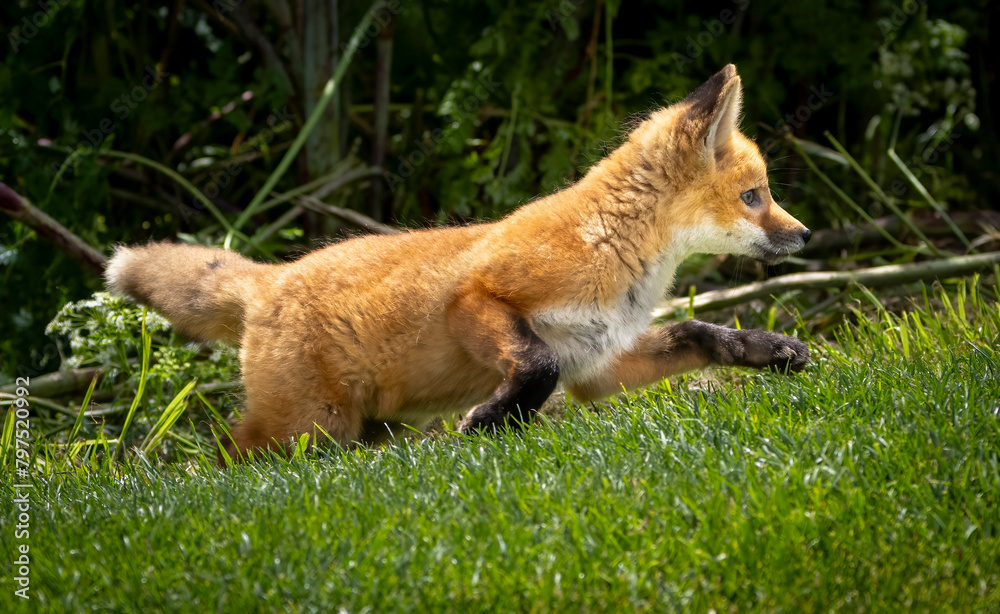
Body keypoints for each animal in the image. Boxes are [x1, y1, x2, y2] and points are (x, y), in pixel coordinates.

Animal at [106, 64, 811, 462]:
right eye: (754, 197)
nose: (804, 236)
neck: (613, 247)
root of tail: (270, 277)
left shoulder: (599, 361)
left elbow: (699, 331)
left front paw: (768, 348)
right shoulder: (479, 299)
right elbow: (535, 364)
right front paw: (490, 423)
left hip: (361, 429)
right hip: (307, 428)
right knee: (221, 459)